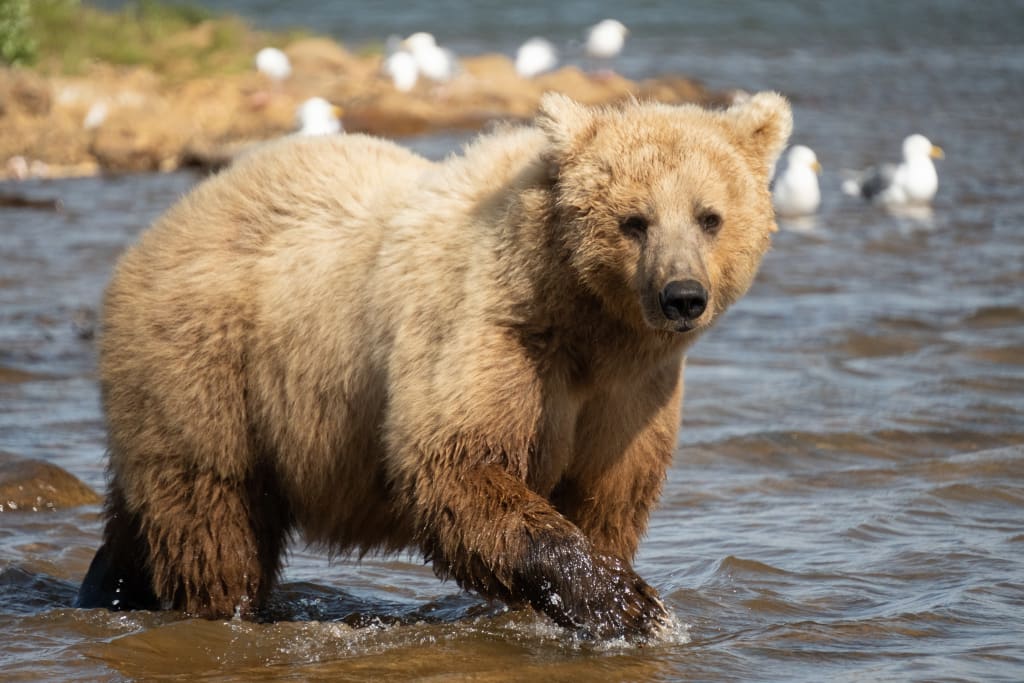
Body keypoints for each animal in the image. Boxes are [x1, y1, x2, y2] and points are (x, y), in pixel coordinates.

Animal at [77, 91, 791, 639]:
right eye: (634, 220)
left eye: (709, 216)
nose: (682, 296)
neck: (584, 323)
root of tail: (166, 224)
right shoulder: (490, 337)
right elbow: (455, 462)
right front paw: (630, 606)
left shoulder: (629, 395)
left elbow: (608, 496)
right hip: (210, 368)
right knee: (212, 512)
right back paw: (224, 609)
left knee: (143, 518)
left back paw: (106, 588)